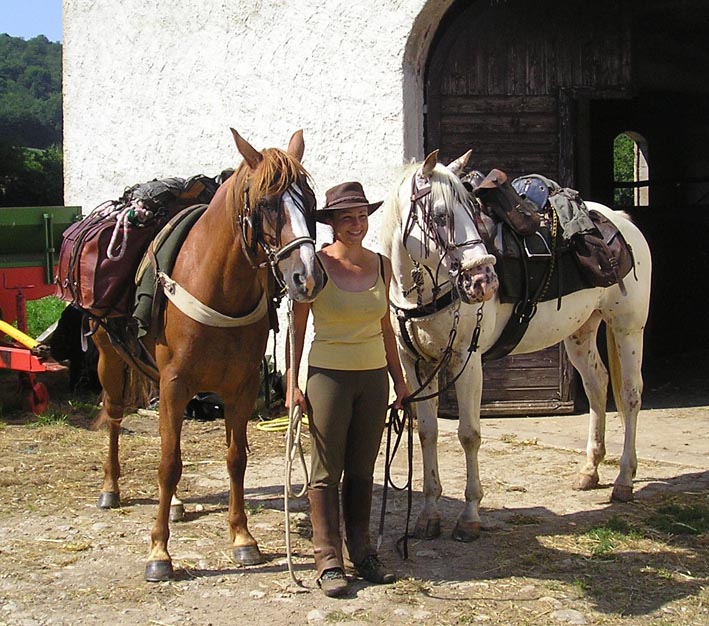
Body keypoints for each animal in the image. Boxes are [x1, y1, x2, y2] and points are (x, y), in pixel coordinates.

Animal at [92, 128, 324, 580]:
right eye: (266, 203)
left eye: (310, 201)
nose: (307, 277)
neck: (218, 287)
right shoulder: (174, 383)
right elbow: (168, 463)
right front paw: (159, 552)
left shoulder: (241, 387)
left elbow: (235, 459)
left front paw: (243, 539)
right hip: (109, 358)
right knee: (113, 416)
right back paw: (111, 488)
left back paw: (178, 505)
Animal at [378, 150, 648, 540]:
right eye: (441, 216)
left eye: (473, 210)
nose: (483, 281)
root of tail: (622, 223)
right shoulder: (415, 364)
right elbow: (428, 432)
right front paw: (428, 515)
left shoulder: (466, 360)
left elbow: (468, 434)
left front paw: (469, 516)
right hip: (581, 331)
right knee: (597, 384)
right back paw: (589, 470)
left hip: (627, 328)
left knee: (629, 395)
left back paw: (624, 480)